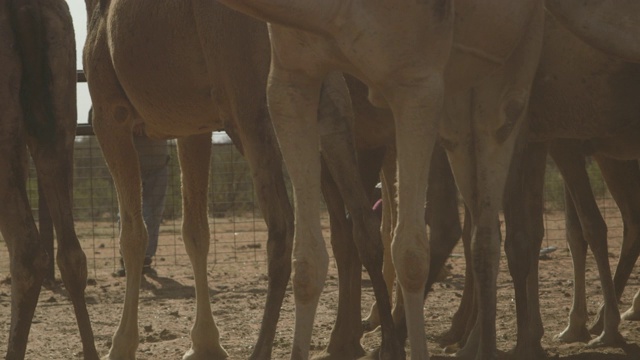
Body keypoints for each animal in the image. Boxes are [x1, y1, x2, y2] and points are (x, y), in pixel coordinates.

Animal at [84, 1, 402, 358]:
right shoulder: (192, 126)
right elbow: (195, 231)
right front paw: (204, 343)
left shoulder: (109, 114)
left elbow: (133, 235)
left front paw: (120, 345)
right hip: (325, 99)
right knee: (360, 222)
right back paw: (381, 343)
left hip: (251, 109)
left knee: (283, 227)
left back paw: (264, 348)